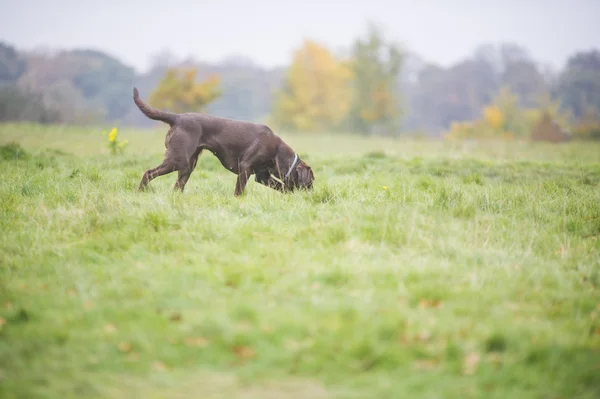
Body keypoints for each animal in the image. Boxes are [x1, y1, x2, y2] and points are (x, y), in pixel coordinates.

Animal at [132, 87, 314, 197]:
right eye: (310, 182)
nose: (313, 195)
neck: (276, 150)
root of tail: (176, 118)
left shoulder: (262, 176)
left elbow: (281, 187)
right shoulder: (245, 167)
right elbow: (239, 191)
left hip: (188, 166)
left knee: (177, 187)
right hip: (177, 160)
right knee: (148, 173)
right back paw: (140, 192)